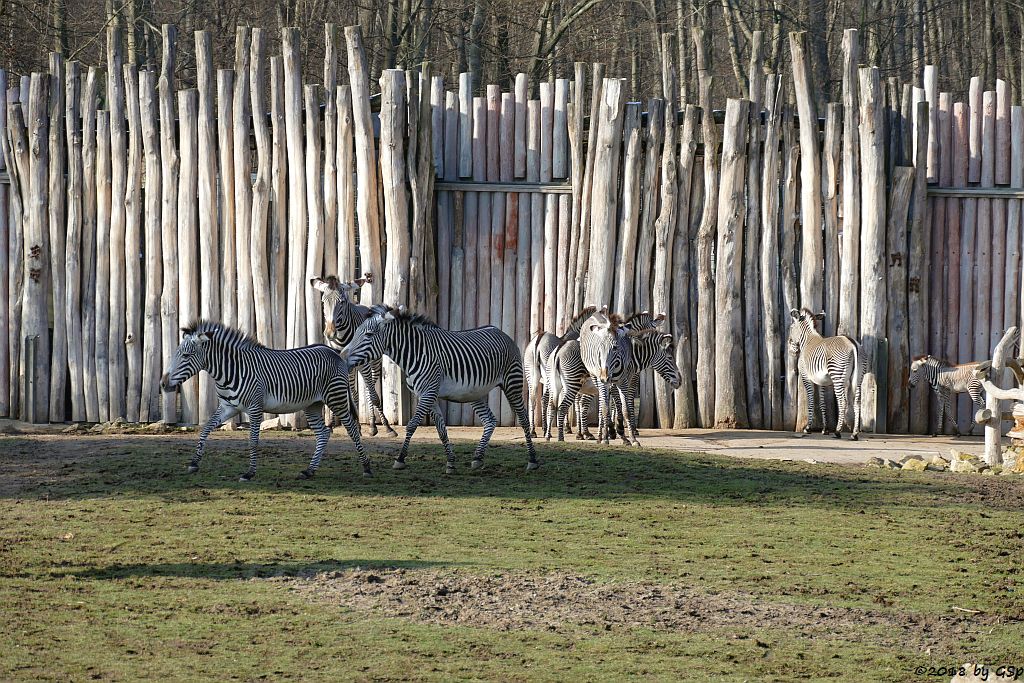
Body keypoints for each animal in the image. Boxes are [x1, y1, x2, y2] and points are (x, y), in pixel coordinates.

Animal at [157, 321, 370, 481]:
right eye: (176, 353)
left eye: (185, 355)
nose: (163, 383)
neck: (230, 371)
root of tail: (332, 351)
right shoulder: (228, 407)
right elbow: (206, 429)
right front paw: (194, 463)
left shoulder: (255, 407)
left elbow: (253, 441)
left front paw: (249, 473)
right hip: (312, 405)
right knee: (323, 433)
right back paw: (309, 470)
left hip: (336, 397)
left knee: (352, 429)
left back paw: (366, 467)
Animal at [307, 274, 395, 438]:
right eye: (323, 302)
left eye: (342, 302)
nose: (330, 333)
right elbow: (348, 395)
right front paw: (333, 425)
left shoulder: (363, 364)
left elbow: (373, 396)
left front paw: (387, 427)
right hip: (352, 368)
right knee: (358, 392)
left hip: (373, 362)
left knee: (370, 390)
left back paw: (375, 425)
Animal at [342, 307, 540, 473]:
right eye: (356, 333)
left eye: (368, 334)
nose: (342, 356)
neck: (415, 353)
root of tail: (500, 331)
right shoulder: (428, 395)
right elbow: (441, 429)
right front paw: (450, 462)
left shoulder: (428, 392)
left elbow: (412, 425)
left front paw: (400, 459)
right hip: (474, 392)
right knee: (490, 420)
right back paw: (477, 458)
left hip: (512, 383)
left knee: (523, 419)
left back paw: (532, 460)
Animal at [524, 305, 598, 436]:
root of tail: (538, 341)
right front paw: (570, 428)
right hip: (548, 377)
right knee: (545, 400)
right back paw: (545, 429)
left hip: (531, 375)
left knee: (533, 400)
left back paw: (533, 430)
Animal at [786, 309, 860, 440]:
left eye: (791, 327)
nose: (790, 346)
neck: (807, 340)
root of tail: (851, 344)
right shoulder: (822, 381)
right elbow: (822, 403)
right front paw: (825, 429)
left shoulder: (806, 377)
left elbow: (811, 400)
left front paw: (808, 428)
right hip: (859, 376)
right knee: (857, 402)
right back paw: (854, 434)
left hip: (837, 374)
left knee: (843, 401)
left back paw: (838, 432)